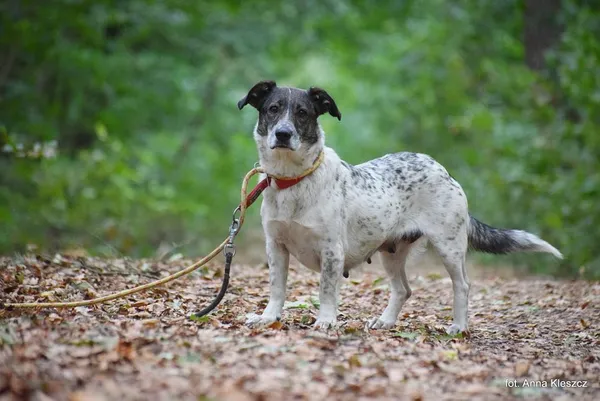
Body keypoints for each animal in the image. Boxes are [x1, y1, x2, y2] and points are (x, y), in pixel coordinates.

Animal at [236, 79, 564, 332]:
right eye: (273, 109)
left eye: (302, 113)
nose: (283, 134)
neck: (293, 181)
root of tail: (443, 169)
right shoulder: (276, 246)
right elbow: (276, 288)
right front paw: (268, 318)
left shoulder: (332, 251)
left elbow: (326, 291)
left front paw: (326, 321)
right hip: (392, 252)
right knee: (404, 289)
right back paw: (385, 321)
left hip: (449, 246)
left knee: (462, 285)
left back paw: (459, 326)